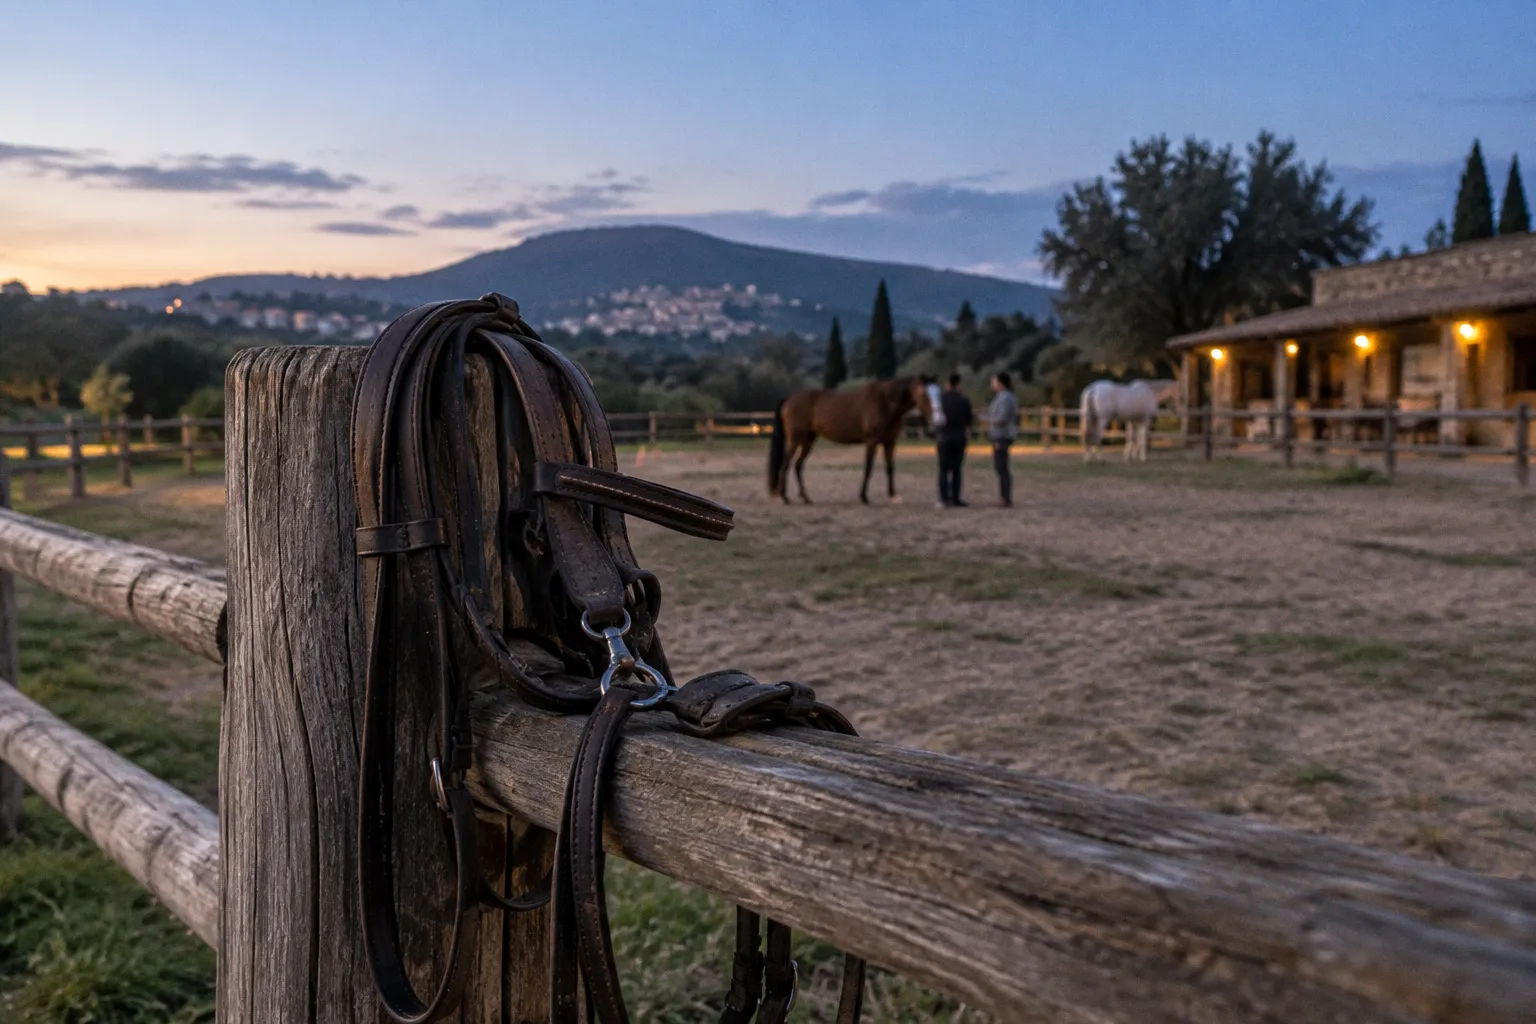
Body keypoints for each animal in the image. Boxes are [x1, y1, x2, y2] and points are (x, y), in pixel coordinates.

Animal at [767, 377, 934, 504]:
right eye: (923, 394)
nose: (932, 417)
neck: (885, 403)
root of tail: (789, 399)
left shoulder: (890, 443)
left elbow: (890, 468)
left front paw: (893, 495)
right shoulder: (872, 442)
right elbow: (868, 468)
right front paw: (864, 497)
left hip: (808, 441)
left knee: (798, 465)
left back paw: (806, 498)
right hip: (795, 441)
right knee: (786, 465)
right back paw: (785, 497)